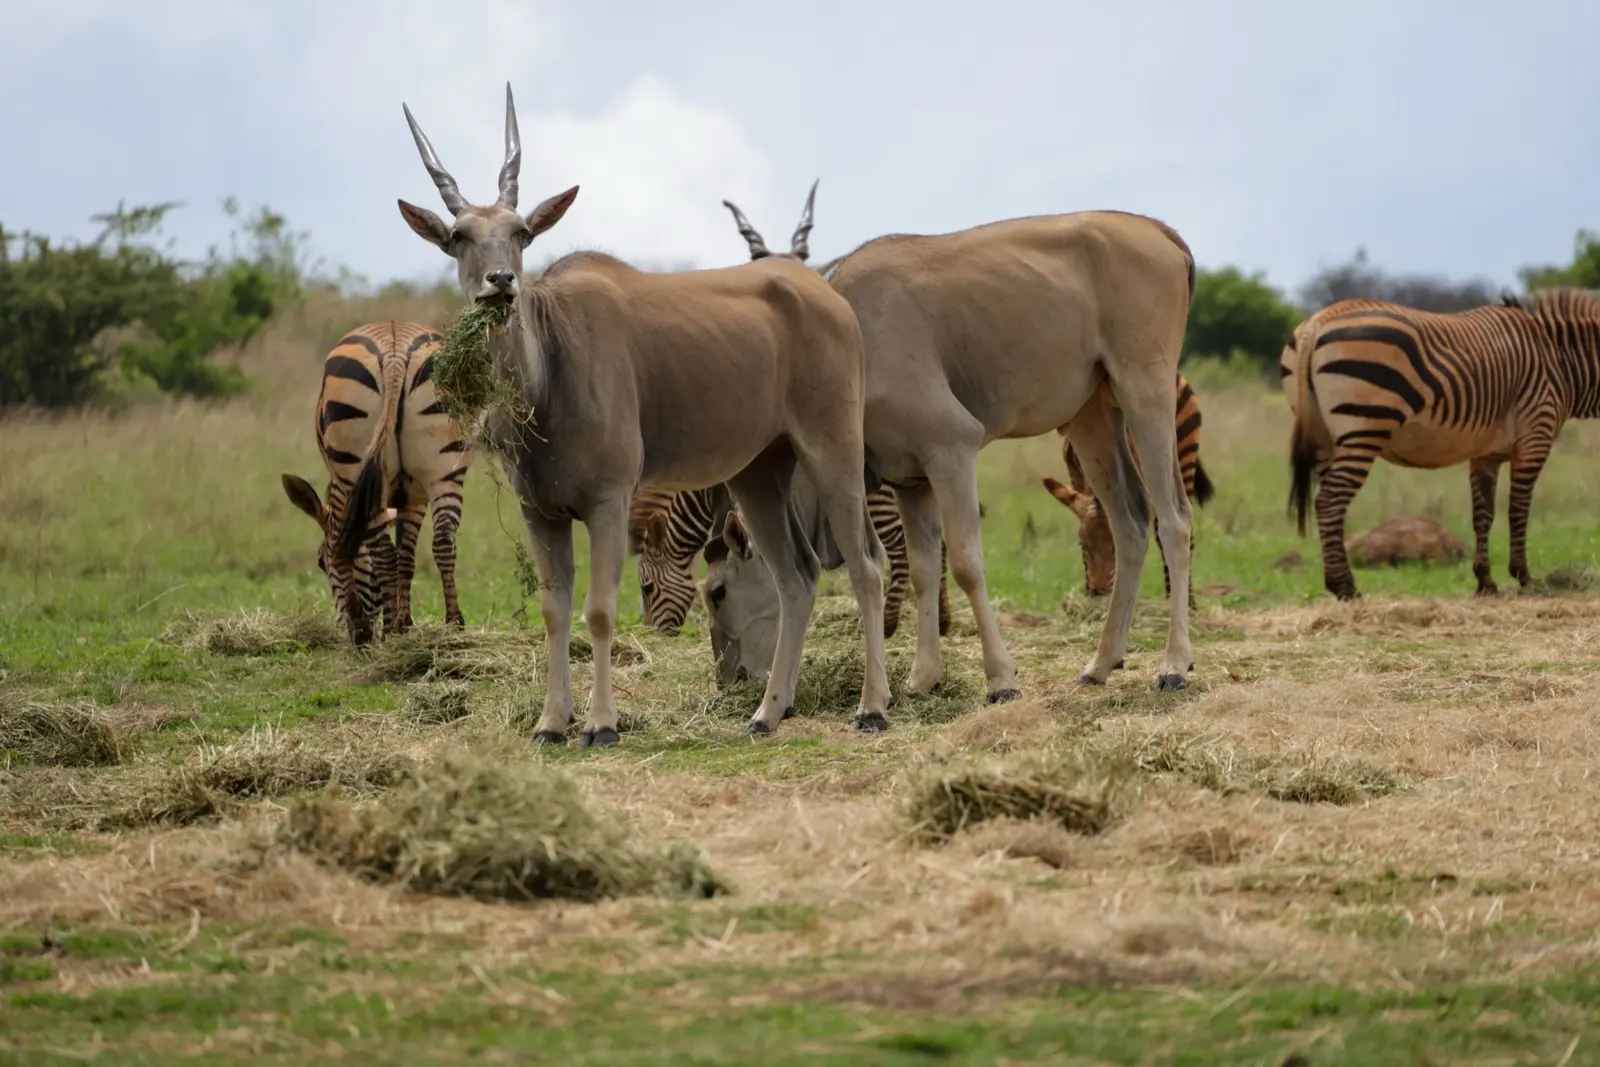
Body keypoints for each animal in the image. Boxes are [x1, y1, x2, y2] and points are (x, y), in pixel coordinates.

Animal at [281, 320, 474, 643]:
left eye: (321, 562)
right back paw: (454, 625)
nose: (340, 627)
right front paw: (405, 624)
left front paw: (375, 627)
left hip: (355, 465)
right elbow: (406, 557)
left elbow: (356, 549)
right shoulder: (414, 496)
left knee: (383, 553)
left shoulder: (349, 491)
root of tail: (394, 351)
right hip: (445, 467)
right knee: (444, 540)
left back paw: (386, 630)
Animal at [629, 482, 953, 638]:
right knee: (939, 546)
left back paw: (889, 623)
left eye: (647, 589)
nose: (652, 635)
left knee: (901, 551)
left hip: (877, 499)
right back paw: (941, 620)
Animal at [1040, 372, 1215, 606]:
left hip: (1182, 453)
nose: (1097, 594)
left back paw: (1184, 602)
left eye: (1115, 549)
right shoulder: (1075, 477)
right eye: (1082, 544)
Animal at [1283, 289, 1600, 600]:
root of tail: (1319, 320)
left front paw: (1485, 582)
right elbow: (1518, 510)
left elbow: (1483, 514)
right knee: (1329, 502)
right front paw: (1523, 577)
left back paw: (1336, 583)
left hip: (1324, 440)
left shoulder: (1486, 453)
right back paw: (1346, 588)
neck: (1559, 357)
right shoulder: (1535, 437)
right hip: (1363, 429)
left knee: (1330, 505)